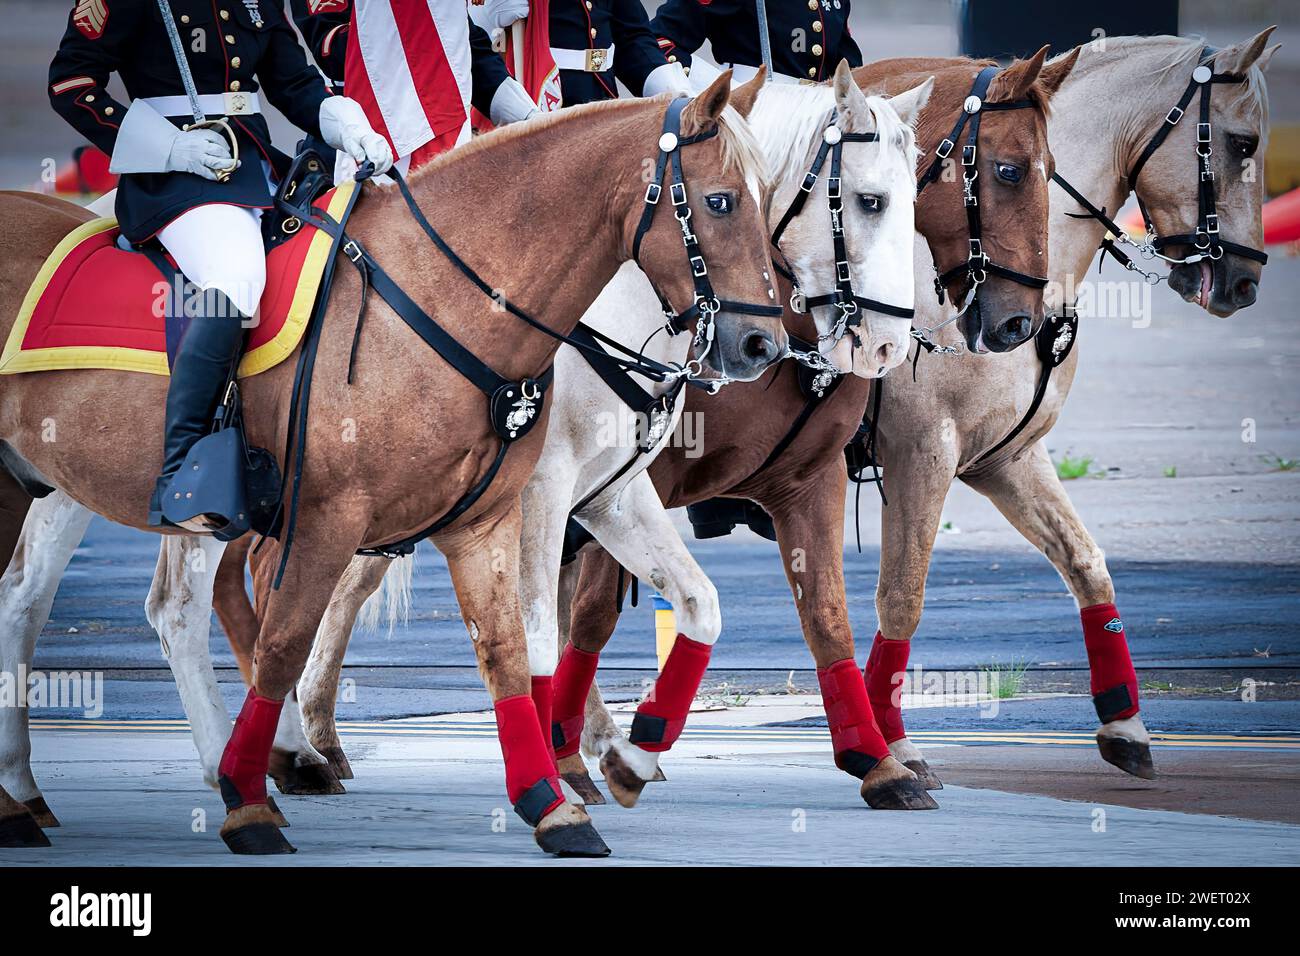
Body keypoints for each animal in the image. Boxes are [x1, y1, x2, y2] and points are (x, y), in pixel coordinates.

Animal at [0, 63, 930, 837]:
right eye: (868, 201)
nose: (757, 347)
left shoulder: (611, 496)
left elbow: (712, 608)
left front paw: (624, 760)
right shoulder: (533, 501)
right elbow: (544, 636)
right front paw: (571, 768)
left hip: (86, 488)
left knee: (113, 605)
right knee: (151, 605)